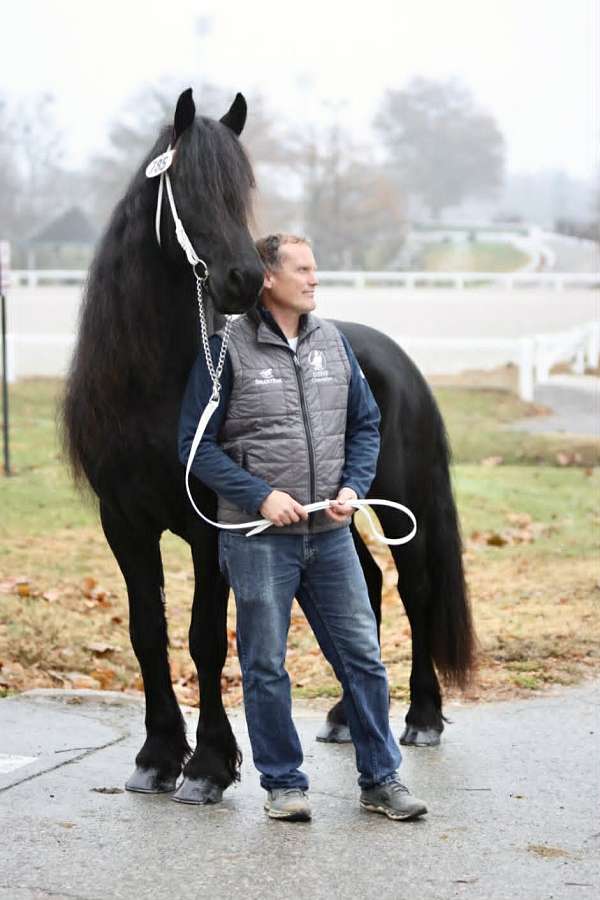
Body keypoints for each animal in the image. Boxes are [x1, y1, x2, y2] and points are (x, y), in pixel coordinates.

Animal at [62, 88, 475, 804]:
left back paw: (423, 716)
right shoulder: (125, 525)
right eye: (189, 187)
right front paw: (157, 756)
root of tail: (394, 357)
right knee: (366, 585)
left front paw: (207, 765)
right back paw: (344, 718)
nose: (243, 279)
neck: (154, 385)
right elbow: (147, 634)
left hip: (403, 502)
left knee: (415, 587)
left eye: (243, 190)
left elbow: (204, 638)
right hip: (336, 508)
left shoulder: (212, 529)